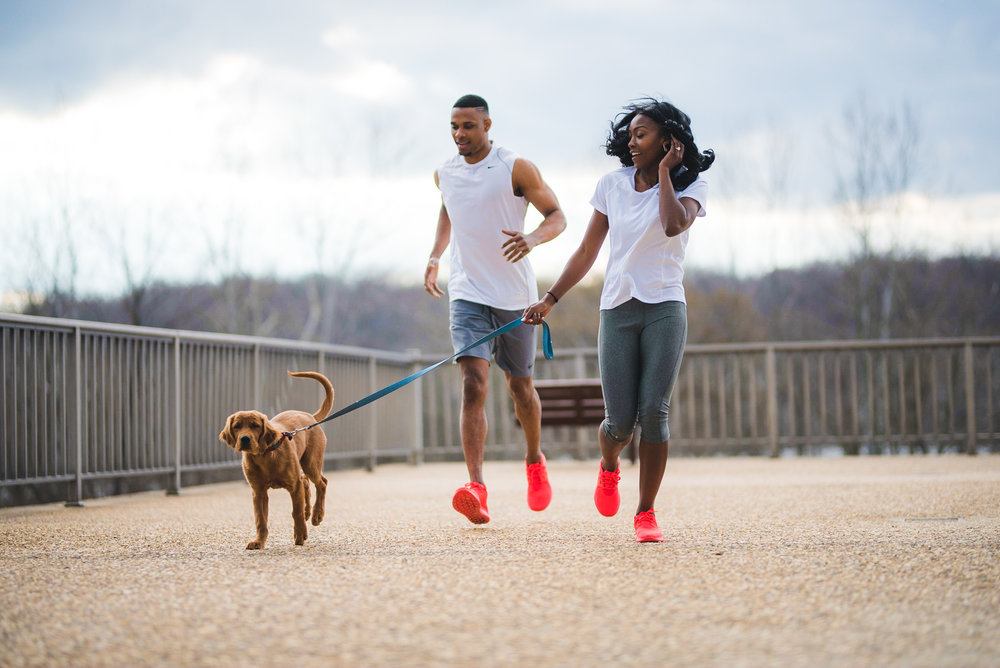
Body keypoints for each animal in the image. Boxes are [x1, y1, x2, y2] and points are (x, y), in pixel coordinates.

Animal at [218, 370, 334, 548]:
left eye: (255, 425)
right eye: (237, 426)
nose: (245, 439)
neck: (264, 456)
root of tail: (310, 416)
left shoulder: (294, 486)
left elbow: (296, 512)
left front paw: (300, 535)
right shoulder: (258, 492)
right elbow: (261, 520)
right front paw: (259, 541)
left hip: (310, 462)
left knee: (321, 483)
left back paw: (316, 515)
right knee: (306, 482)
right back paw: (308, 512)